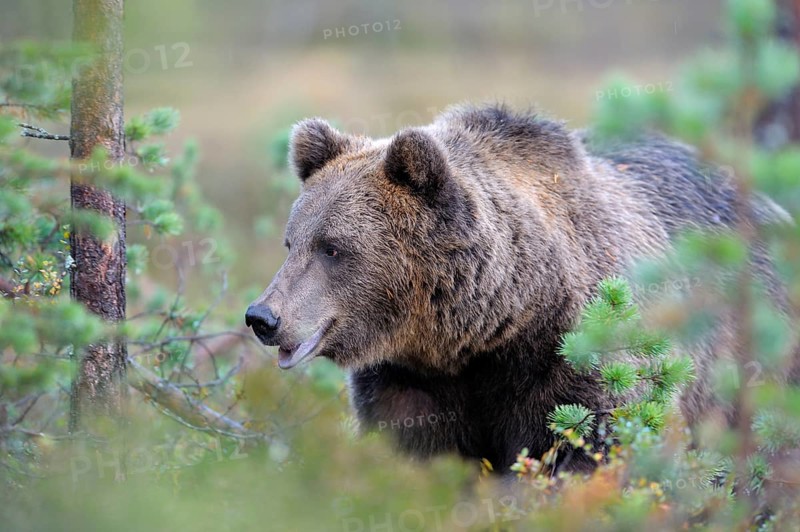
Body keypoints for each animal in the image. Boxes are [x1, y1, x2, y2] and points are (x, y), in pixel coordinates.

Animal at [245, 104, 795, 473]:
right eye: (292, 241)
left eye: (333, 248)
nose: (262, 317)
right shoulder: (412, 380)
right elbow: (420, 452)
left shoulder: (572, 359)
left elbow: (586, 450)